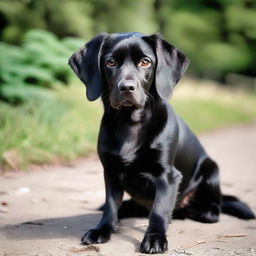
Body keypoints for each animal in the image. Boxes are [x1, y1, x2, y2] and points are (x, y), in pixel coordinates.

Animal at [69, 32, 255, 254]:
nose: (126, 88)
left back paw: (206, 212)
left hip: (211, 169)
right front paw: (102, 229)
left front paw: (155, 237)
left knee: (214, 203)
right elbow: (111, 206)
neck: (130, 124)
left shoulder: (167, 176)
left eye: (145, 61)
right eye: (110, 62)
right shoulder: (111, 172)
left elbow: (159, 210)